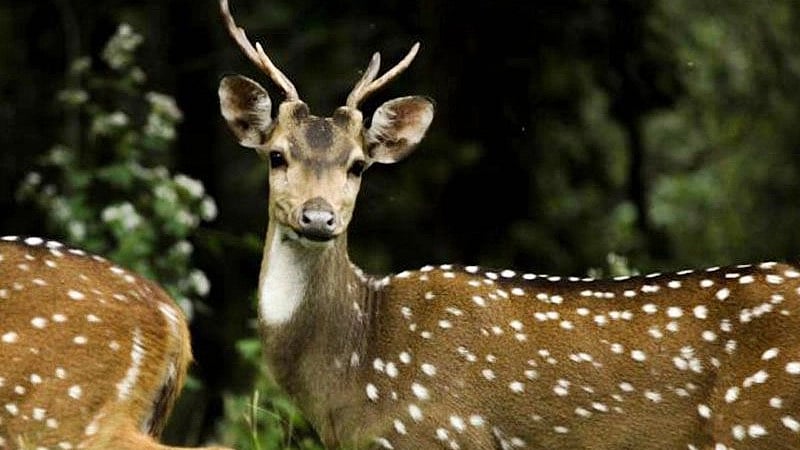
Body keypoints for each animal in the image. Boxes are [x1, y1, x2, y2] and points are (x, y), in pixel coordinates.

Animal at [217, 1, 800, 448]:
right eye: (276, 155)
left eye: (358, 165)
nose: (319, 217)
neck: (355, 370)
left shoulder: (442, 431)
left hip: (759, 424)